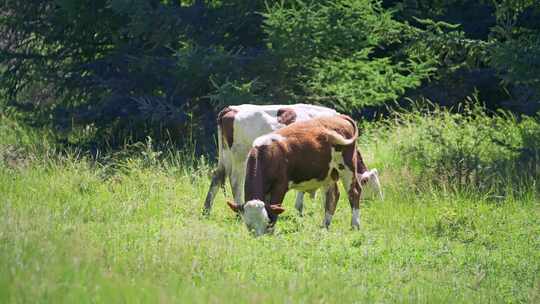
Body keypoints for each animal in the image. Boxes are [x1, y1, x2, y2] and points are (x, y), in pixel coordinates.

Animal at [200, 104, 382, 216]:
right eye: (371, 186)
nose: (379, 203)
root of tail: (232, 109)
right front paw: (301, 208)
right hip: (239, 155)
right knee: (235, 180)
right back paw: (239, 210)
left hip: (225, 155)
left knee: (217, 176)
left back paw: (207, 210)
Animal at [226, 115, 364, 236]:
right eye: (248, 225)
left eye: (266, 222)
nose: (259, 239)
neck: (266, 154)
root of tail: (339, 117)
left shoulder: (280, 186)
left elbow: (275, 207)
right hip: (328, 173)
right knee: (332, 195)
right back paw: (325, 225)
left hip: (347, 166)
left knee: (354, 191)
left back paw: (355, 224)